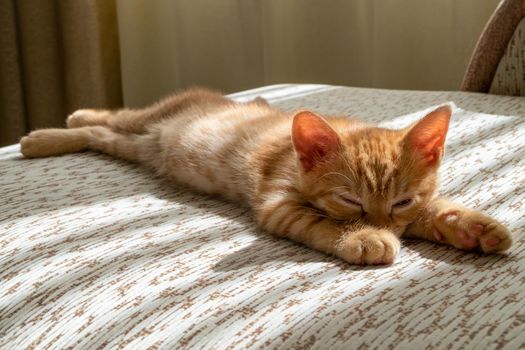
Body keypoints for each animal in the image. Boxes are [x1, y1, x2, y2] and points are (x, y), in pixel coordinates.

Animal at [21, 87, 512, 266]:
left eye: (402, 201)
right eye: (351, 202)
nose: (383, 225)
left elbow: (435, 210)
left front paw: (474, 227)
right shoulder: (278, 203)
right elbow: (320, 222)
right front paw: (365, 237)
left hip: (140, 146)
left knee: (100, 135)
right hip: (154, 118)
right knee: (112, 117)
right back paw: (52, 130)